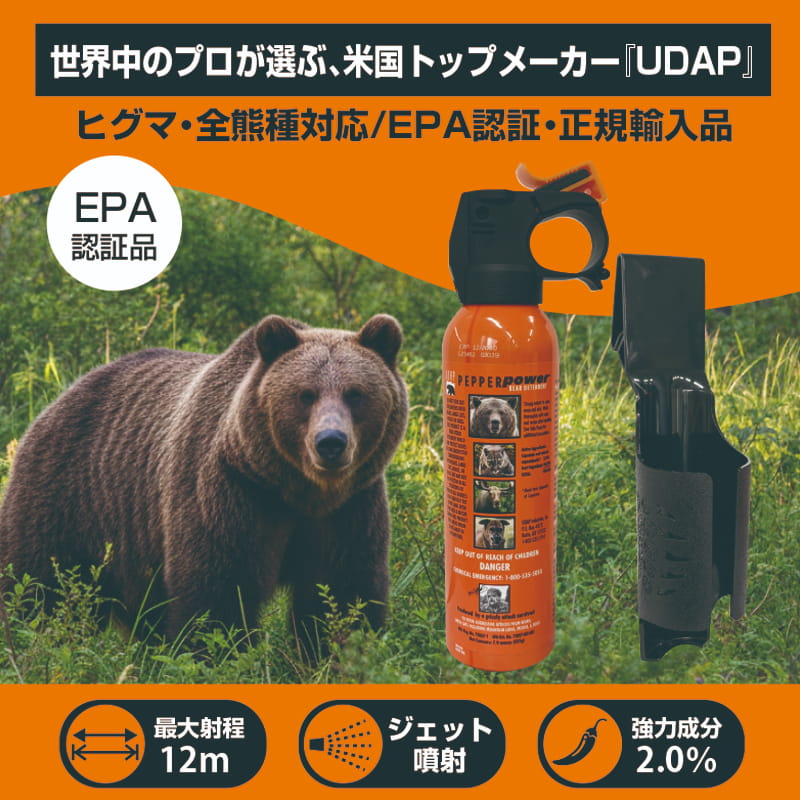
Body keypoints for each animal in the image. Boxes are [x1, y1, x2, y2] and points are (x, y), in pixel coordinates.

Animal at [0, 314, 408, 653]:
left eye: (355, 393)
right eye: (305, 394)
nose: (330, 442)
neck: (297, 490)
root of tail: (58, 399)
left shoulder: (349, 508)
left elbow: (342, 594)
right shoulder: (230, 492)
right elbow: (218, 594)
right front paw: (217, 655)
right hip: (67, 499)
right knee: (38, 590)